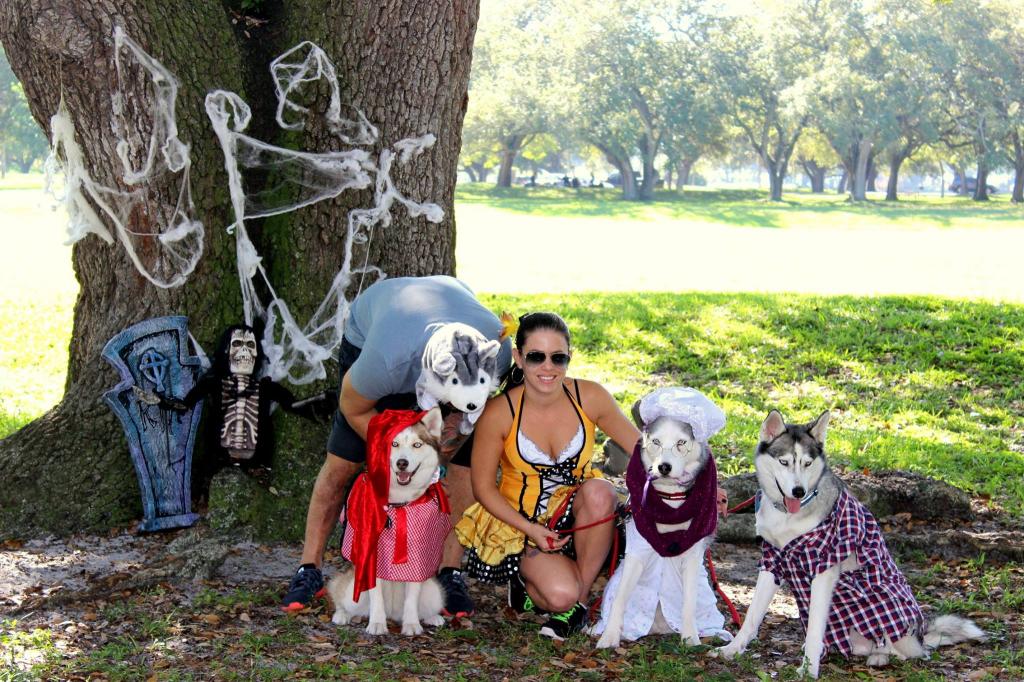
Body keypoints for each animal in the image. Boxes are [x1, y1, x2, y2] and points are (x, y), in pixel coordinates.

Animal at [593, 387, 729, 647]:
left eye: (681, 443)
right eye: (656, 442)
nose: (664, 467)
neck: (669, 500)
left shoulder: (692, 555)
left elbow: (688, 602)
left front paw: (690, 637)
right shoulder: (637, 551)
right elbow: (620, 599)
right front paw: (610, 635)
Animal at [712, 409, 983, 675]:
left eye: (807, 463)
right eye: (784, 462)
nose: (799, 491)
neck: (789, 517)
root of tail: (921, 636)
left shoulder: (824, 570)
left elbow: (814, 629)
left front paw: (809, 669)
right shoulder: (773, 562)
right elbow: (752, 616)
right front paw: (733, 649)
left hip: (881, 607)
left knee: (903, 649)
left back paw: (880, 656)